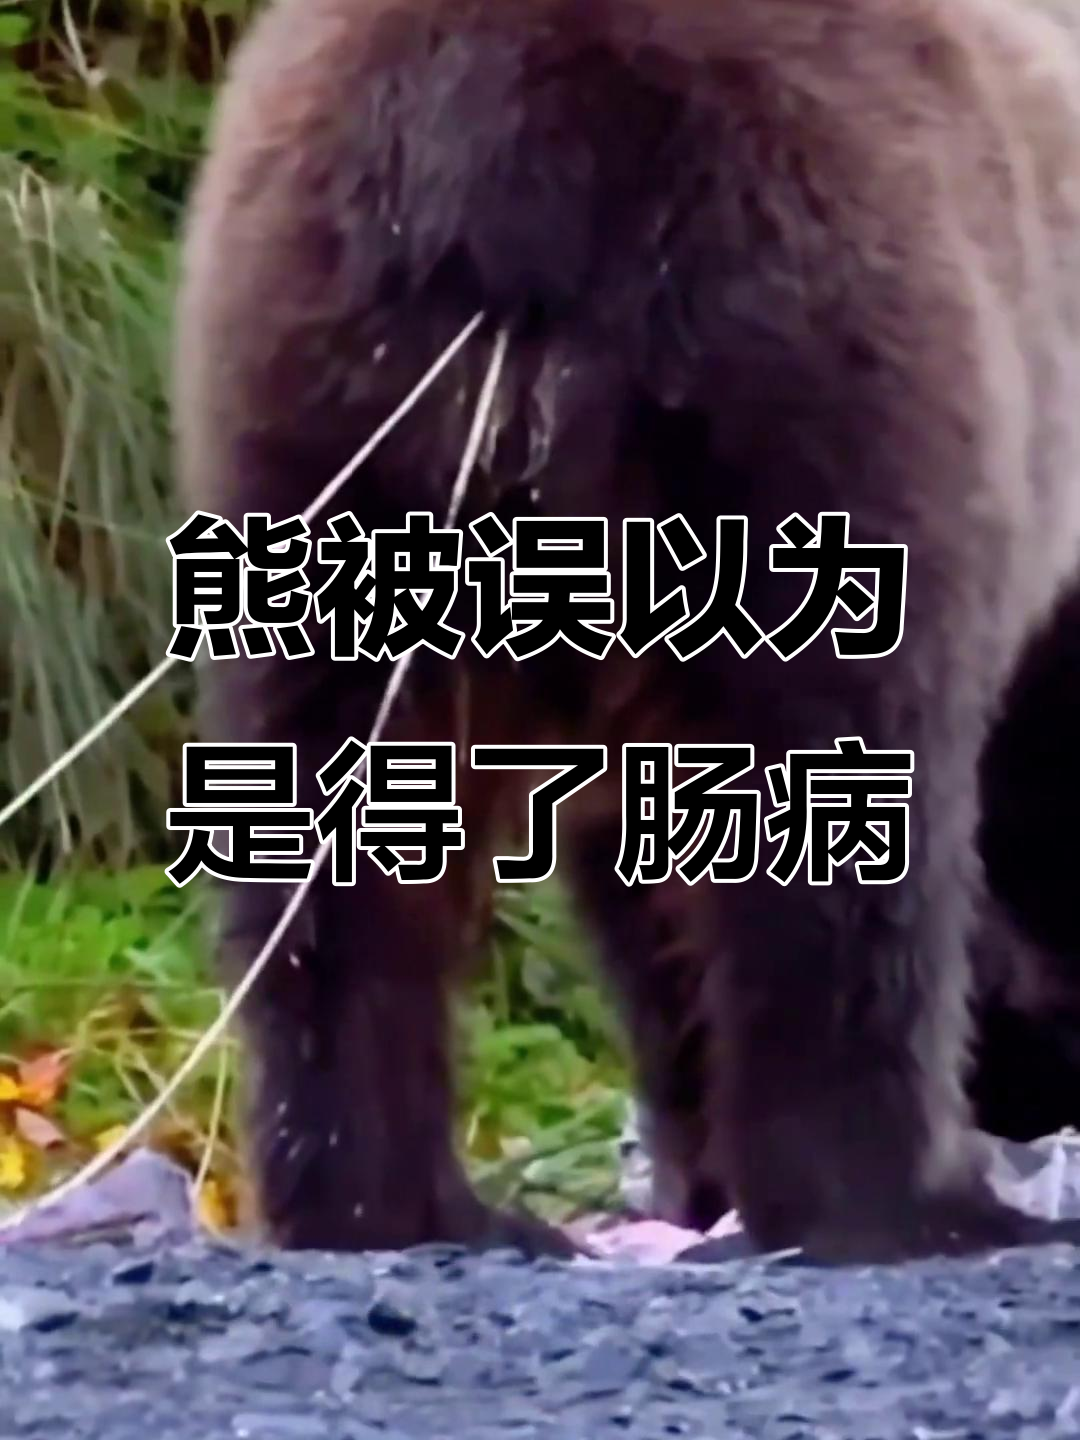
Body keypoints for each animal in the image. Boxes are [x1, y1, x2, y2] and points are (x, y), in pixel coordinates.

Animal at [172, 0, 1080, 1264]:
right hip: (820, 348)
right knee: (846, 815)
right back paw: (908, 1202)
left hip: (318, 408)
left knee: (332, 838)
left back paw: (402, 1205)